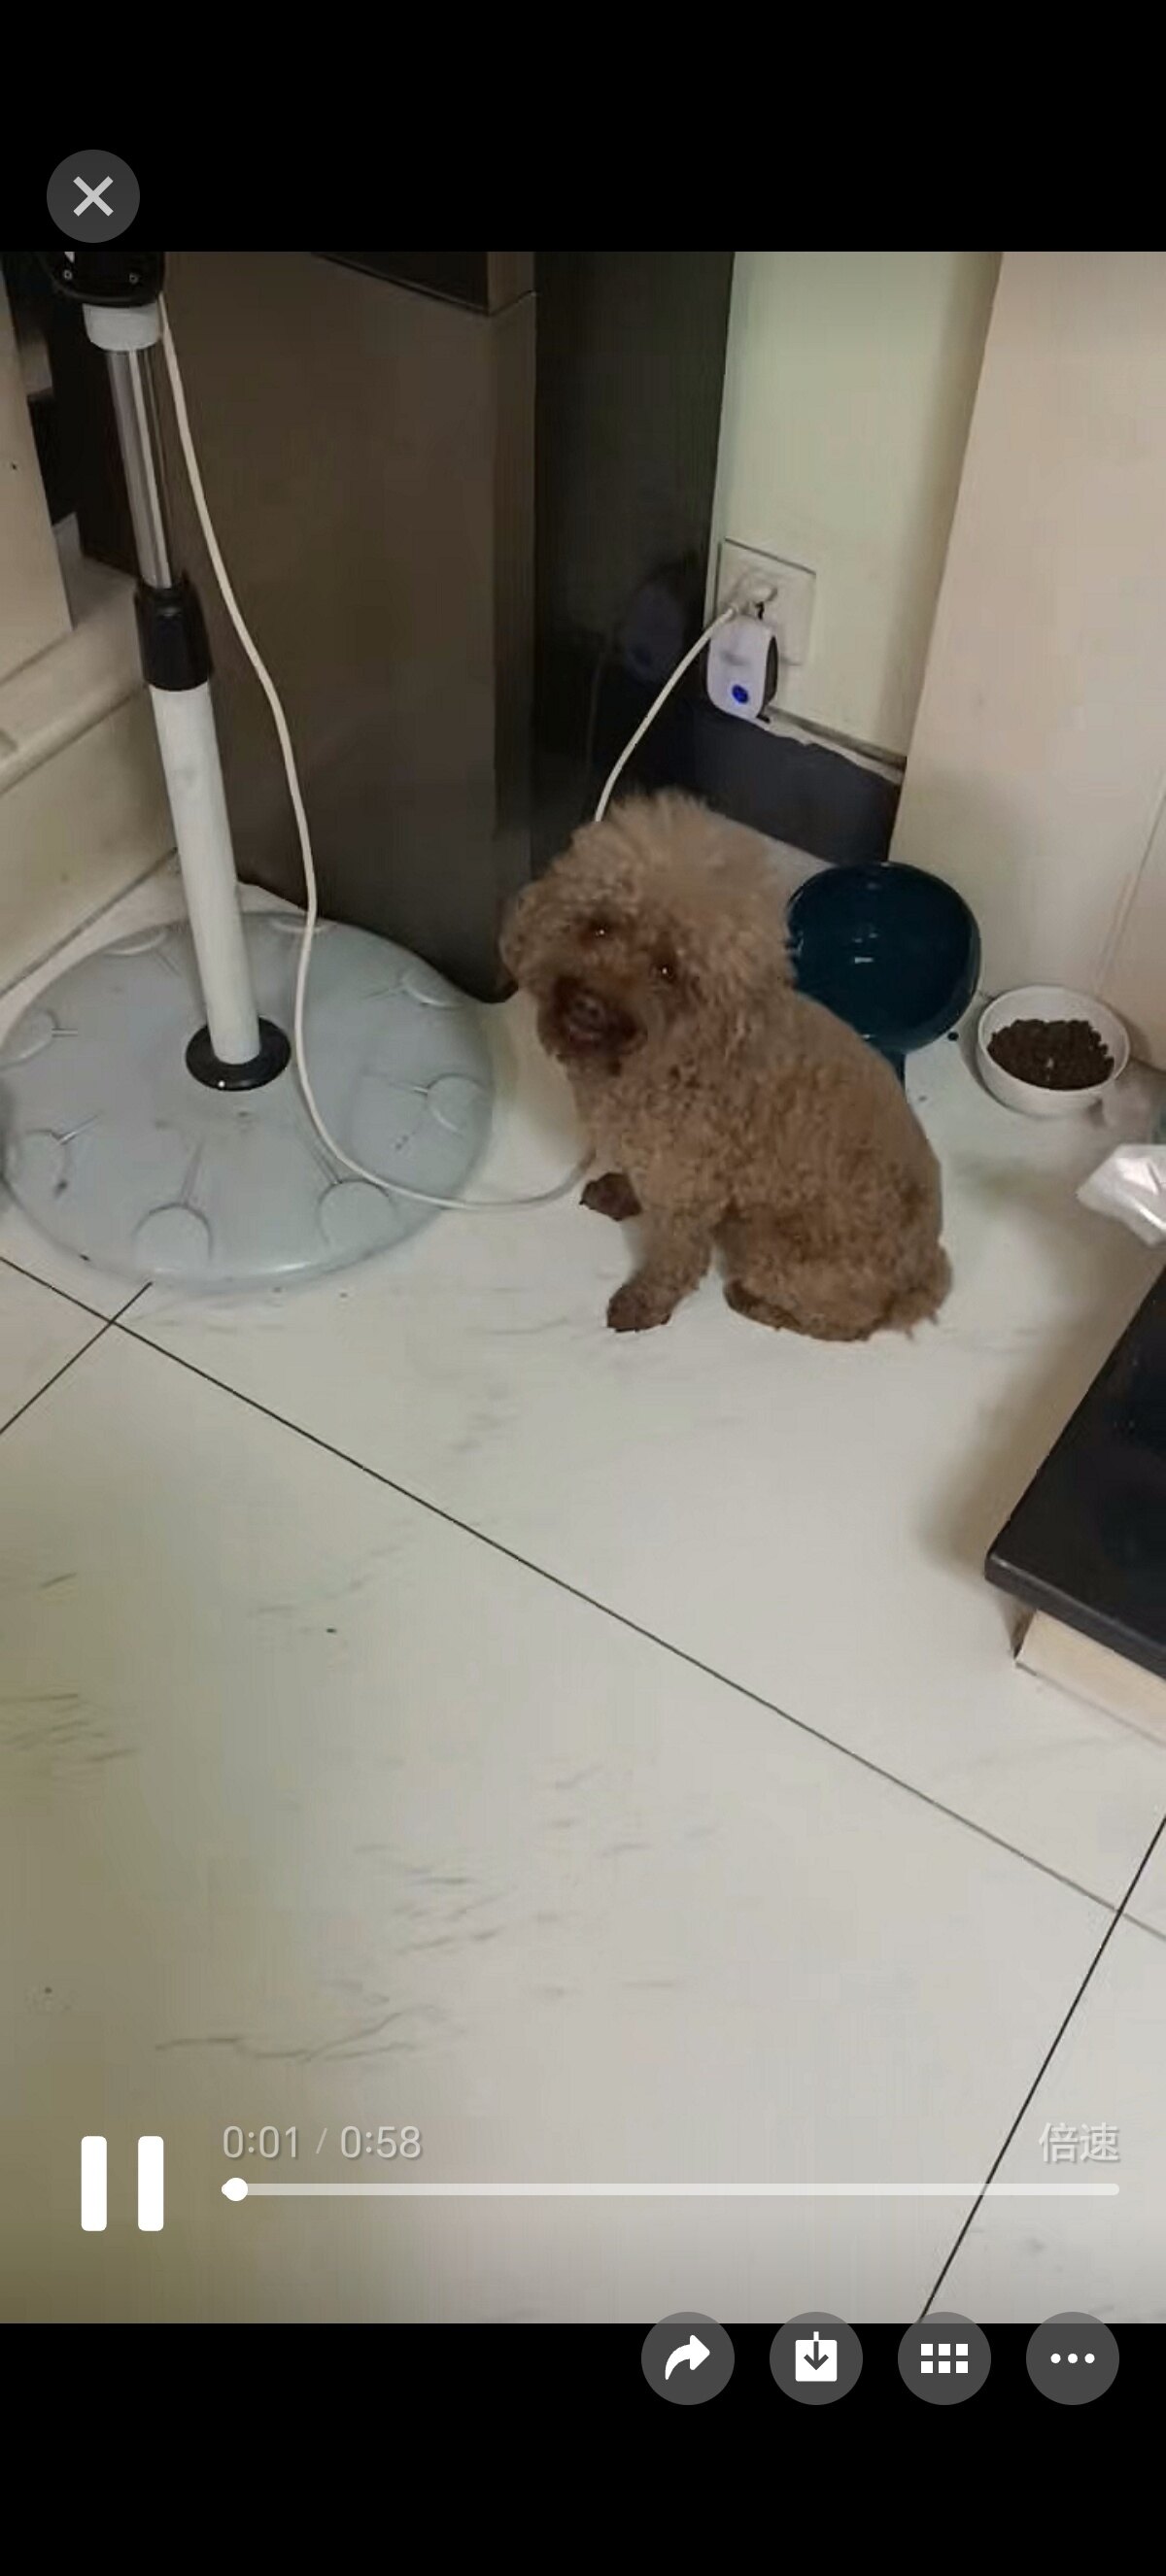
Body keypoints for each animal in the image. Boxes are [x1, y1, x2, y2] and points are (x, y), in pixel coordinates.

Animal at [501, 792, 950, 1339]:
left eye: (668, 969)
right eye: (599, 926)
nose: (589, 1006)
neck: (666, 1062)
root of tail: (922, 1274)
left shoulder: (686, 1193)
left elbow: (678, 1260)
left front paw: (643, 1305)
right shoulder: (662, 1171)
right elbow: (636, 1182)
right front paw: (620, 1193)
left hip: (773, 1252)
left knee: (849, 1325)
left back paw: (758, 1305)